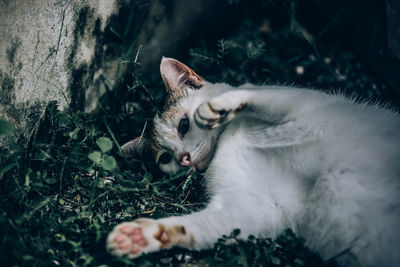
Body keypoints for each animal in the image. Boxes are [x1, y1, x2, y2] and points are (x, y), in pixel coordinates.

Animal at [106, 57, 400, 266]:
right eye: (165, 158)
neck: (225, 142)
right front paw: (142, 236)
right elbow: (195, 226)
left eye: (183, 125)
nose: (183, 158)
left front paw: (219, 106)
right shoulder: (254, 206)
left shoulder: (304, 109)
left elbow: (259, 95)